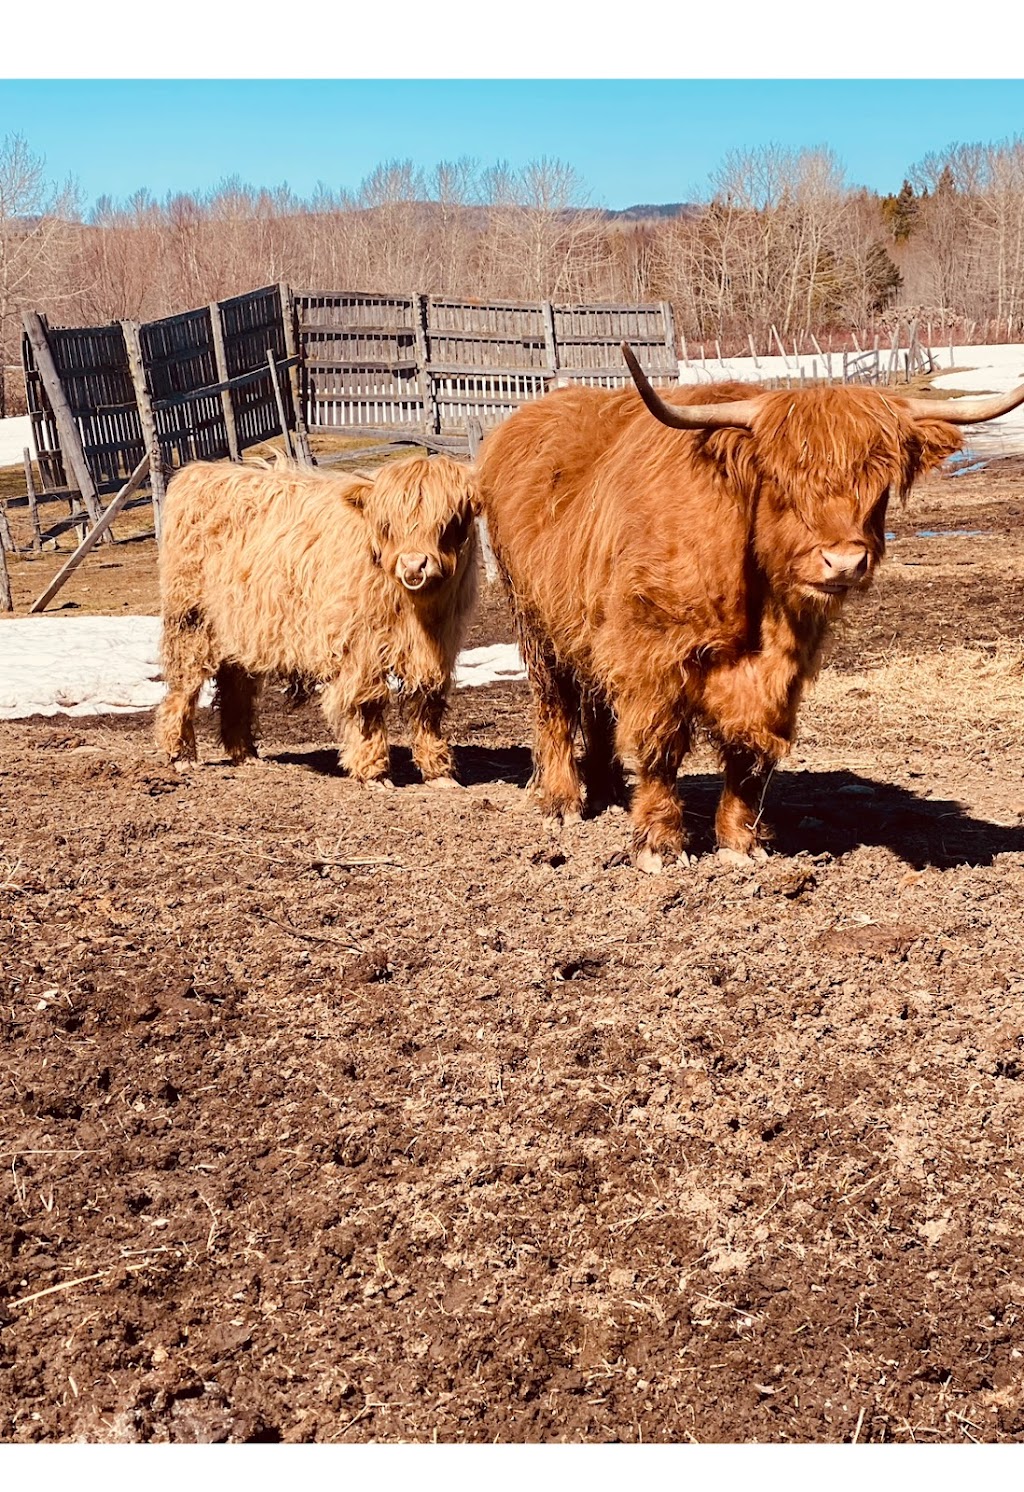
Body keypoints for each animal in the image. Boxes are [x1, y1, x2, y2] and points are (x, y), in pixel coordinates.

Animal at [155, 450, 480, 781]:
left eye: (449, 522)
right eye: (386, 525)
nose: (413, 565)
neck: (416, 610)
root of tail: (199, 472)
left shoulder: (439, 647)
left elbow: (428, 703)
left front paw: (439, 772)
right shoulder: (359, 649)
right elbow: (368, 705)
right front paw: (373, 773)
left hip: (242, 631)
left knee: (236, 688)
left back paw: (245, 755)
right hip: (191, 621)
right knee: (184, 685)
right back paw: (180, 755)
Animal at [477, 341, 1024, 871]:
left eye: (879, 483)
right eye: (782, 482)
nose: (844, 562)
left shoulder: (780, 672)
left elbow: (749, 754)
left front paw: (740, 843)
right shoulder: (651, 657)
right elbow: (659, 749)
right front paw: (658, 845)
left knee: (595, 706)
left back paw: (609, 790)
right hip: (535, 621)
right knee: (556, 707)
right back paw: (561, 803)